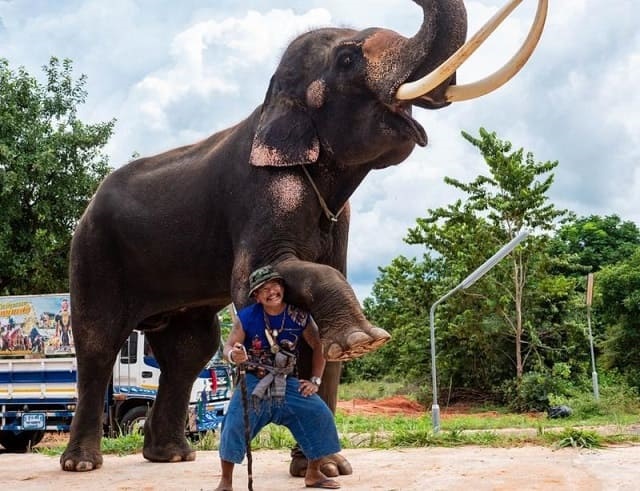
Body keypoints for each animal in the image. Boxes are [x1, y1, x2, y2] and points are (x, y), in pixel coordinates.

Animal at [62, 0, 548, 476]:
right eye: (348, 59)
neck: (271, 101)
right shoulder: (262, 192)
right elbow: (254, 281)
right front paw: (363, 340)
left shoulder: (339, 217)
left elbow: (319, 326)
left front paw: (327, 467)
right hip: (93, 251)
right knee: (99, 342)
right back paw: (83, 464)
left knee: (189, 349)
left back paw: (173, 457)